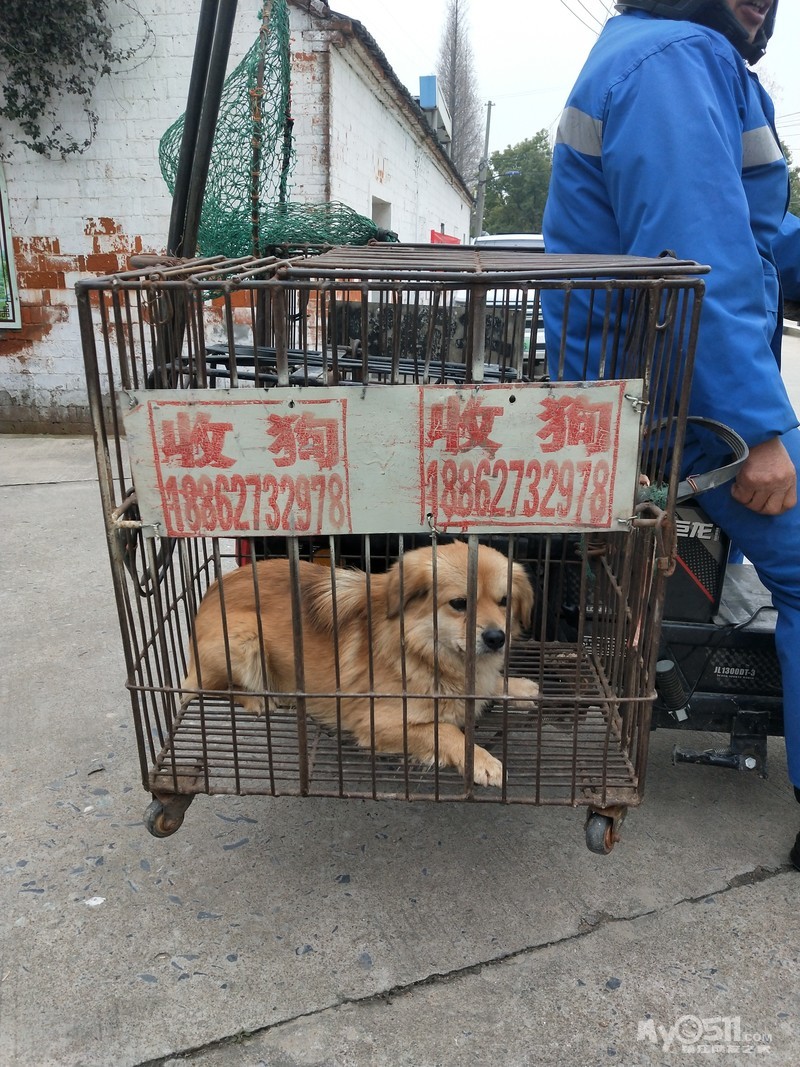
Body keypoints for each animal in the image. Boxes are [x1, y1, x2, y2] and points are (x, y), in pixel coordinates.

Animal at [183, 542, 539, 785]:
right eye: (459, 603)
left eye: (504, 601)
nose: (496, 638)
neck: (422, 649)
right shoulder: (376, 722)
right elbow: (446, 729)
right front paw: (481, 759)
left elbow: (489, 685)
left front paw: (518, 686)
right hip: (244, 640)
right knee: (206, 687)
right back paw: (259, 698)